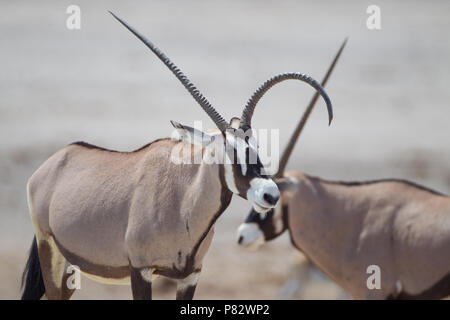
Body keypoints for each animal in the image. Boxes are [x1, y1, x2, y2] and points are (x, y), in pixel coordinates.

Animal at [21, 13, 334, 300]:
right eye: (226, 151)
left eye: (255, 145)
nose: (270, 194)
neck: (183, 200)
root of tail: (53, 162)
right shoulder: (141, 271)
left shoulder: (190, 276)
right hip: (50, 253)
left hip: (70, 267)